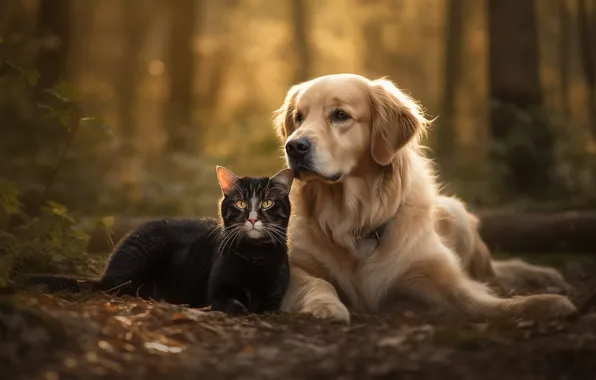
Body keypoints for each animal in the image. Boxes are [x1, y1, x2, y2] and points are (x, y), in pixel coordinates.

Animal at [27, 168, 294, 316]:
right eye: (240, 203)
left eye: (267, 203)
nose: (252, 218)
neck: (256, 256)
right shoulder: (218, 292)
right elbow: (232, 302)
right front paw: (242, 310)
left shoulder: (275, 298)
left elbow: (269, 306)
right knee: (112, 288)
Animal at [274, 72, 576, 322]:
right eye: (299, 117)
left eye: (340, 115)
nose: (294, 146)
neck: (355, 220)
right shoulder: (293, 265)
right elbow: (318, 282)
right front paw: (325, 306)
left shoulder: (434, 273)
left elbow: (480, 299)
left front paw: (545, 303)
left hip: (456, 214)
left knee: (493, 271)